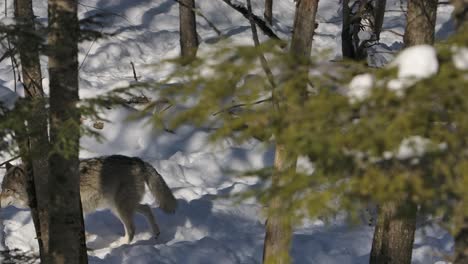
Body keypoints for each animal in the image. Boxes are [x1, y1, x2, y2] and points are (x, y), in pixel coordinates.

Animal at [0, 155, 176, 245]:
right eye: (2, 188)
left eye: (7, 190)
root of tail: (137, 160)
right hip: (118, 206)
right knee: (147, 208)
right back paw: (156, 234)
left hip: (120, 208)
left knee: (132, 229)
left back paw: (121, 246)